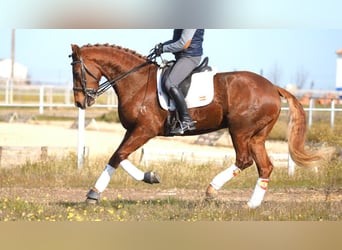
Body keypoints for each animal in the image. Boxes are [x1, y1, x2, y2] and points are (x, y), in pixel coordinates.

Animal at [70, 44, 324, 208]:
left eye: (76, 70)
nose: (81, 102)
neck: (137, 82)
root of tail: (272, 87)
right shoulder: (132, 130)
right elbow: (117, 156)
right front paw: (150, 176)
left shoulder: (144, 130)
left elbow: (118, 155)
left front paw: (93, 194)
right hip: (256, 136)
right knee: (265, 167)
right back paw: (252, 205)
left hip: (240, 131)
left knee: (244, 160)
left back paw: (212, 190)